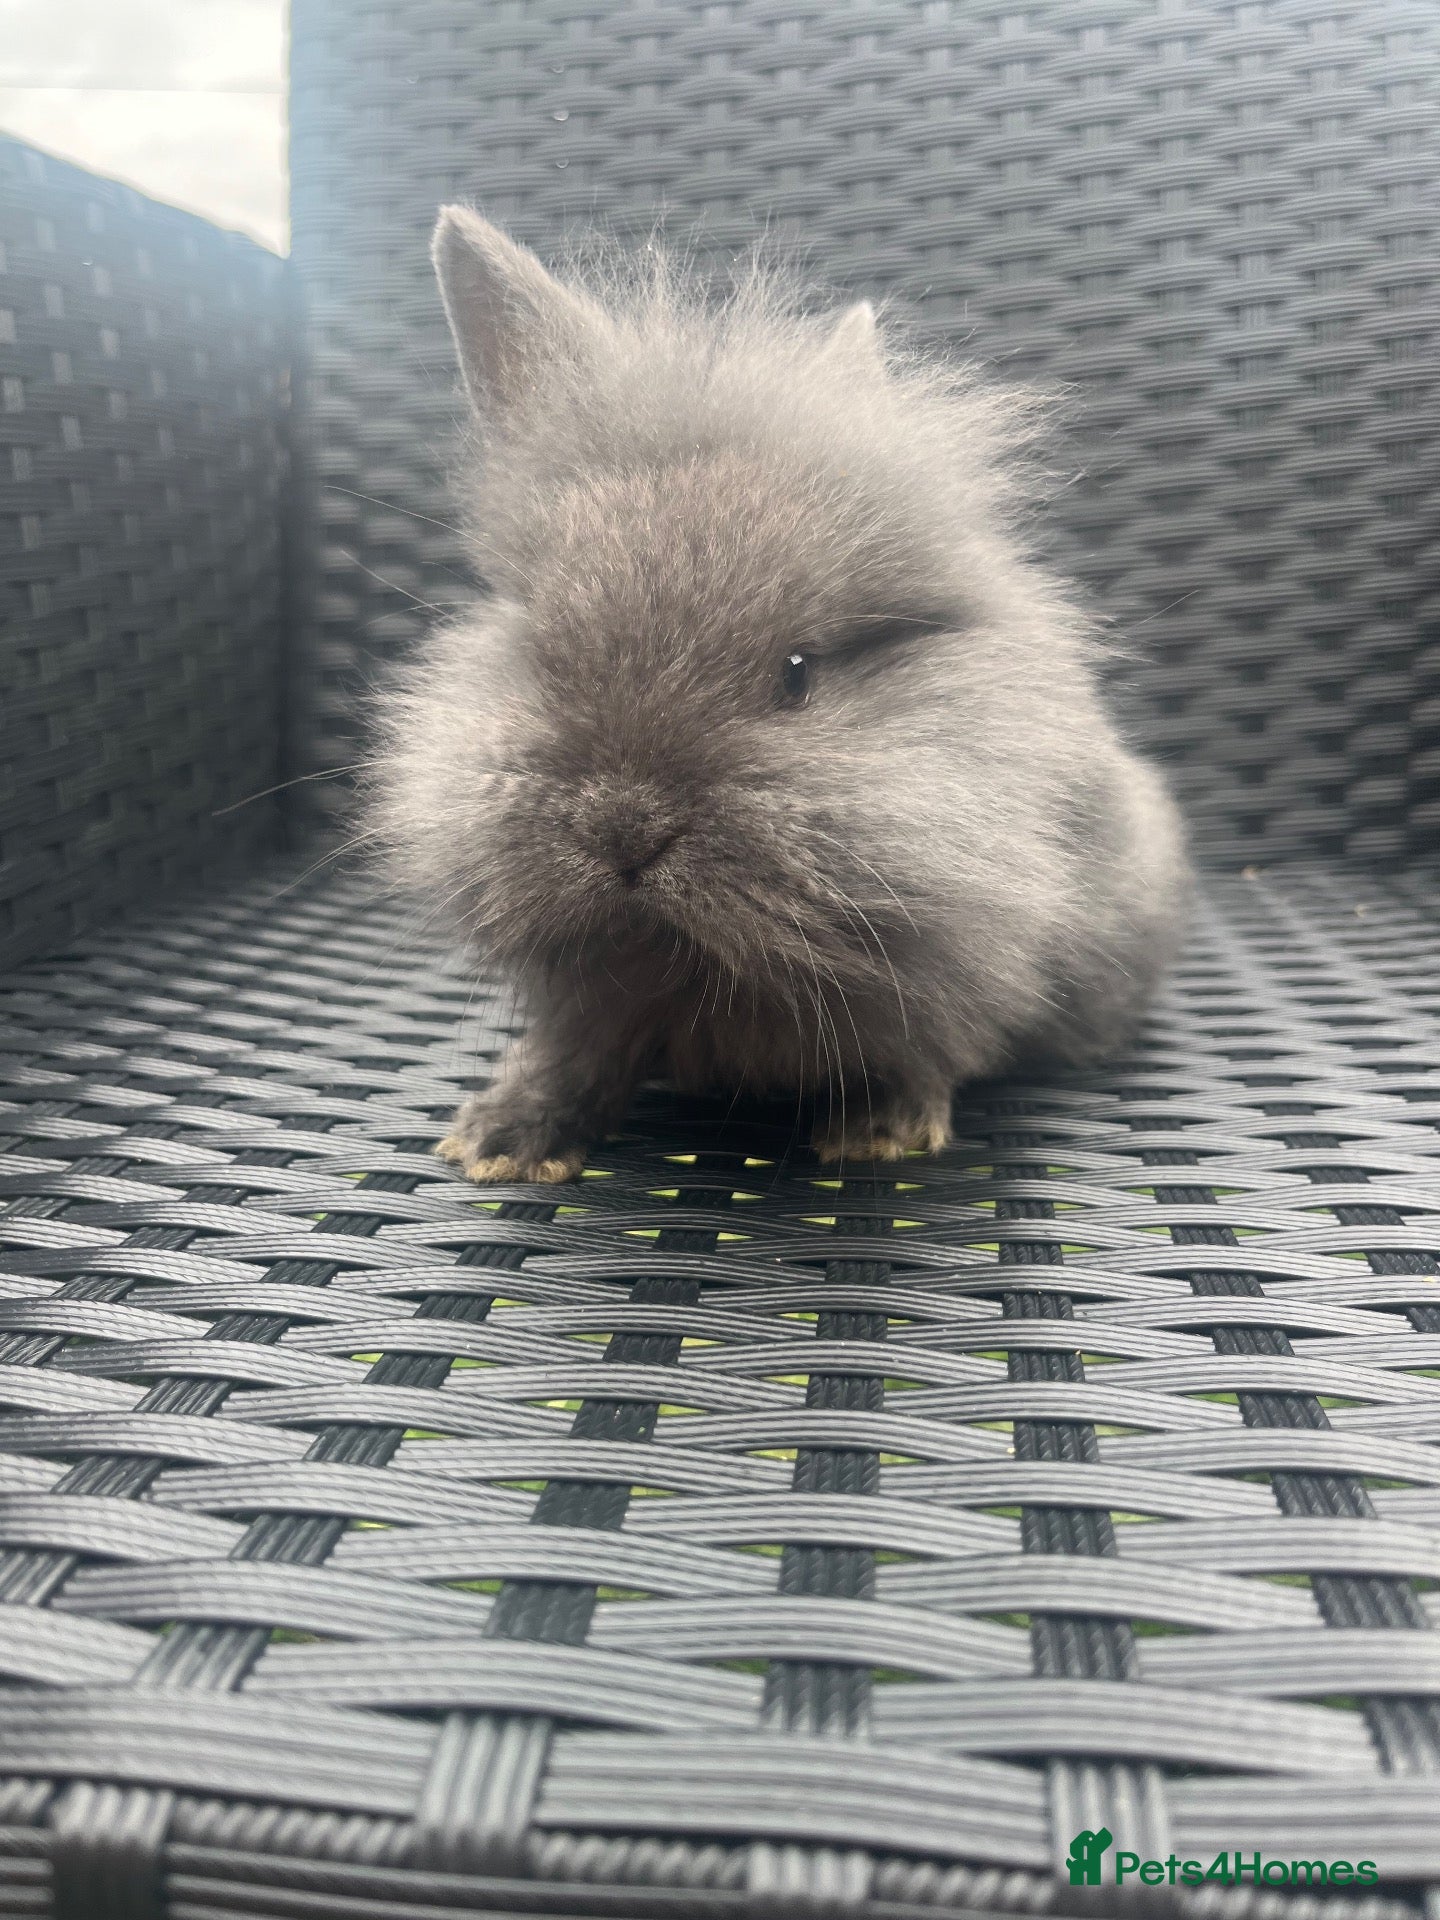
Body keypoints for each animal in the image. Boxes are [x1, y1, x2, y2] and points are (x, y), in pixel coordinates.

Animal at [364, 207, 1191, 1182]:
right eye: (543, 649)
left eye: (797, 673)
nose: (624, 828)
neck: (697, 965)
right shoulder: (597, 1002)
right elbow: (578, 1052)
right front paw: (503, 1140)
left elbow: (925, 1042)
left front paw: (878, 1132)